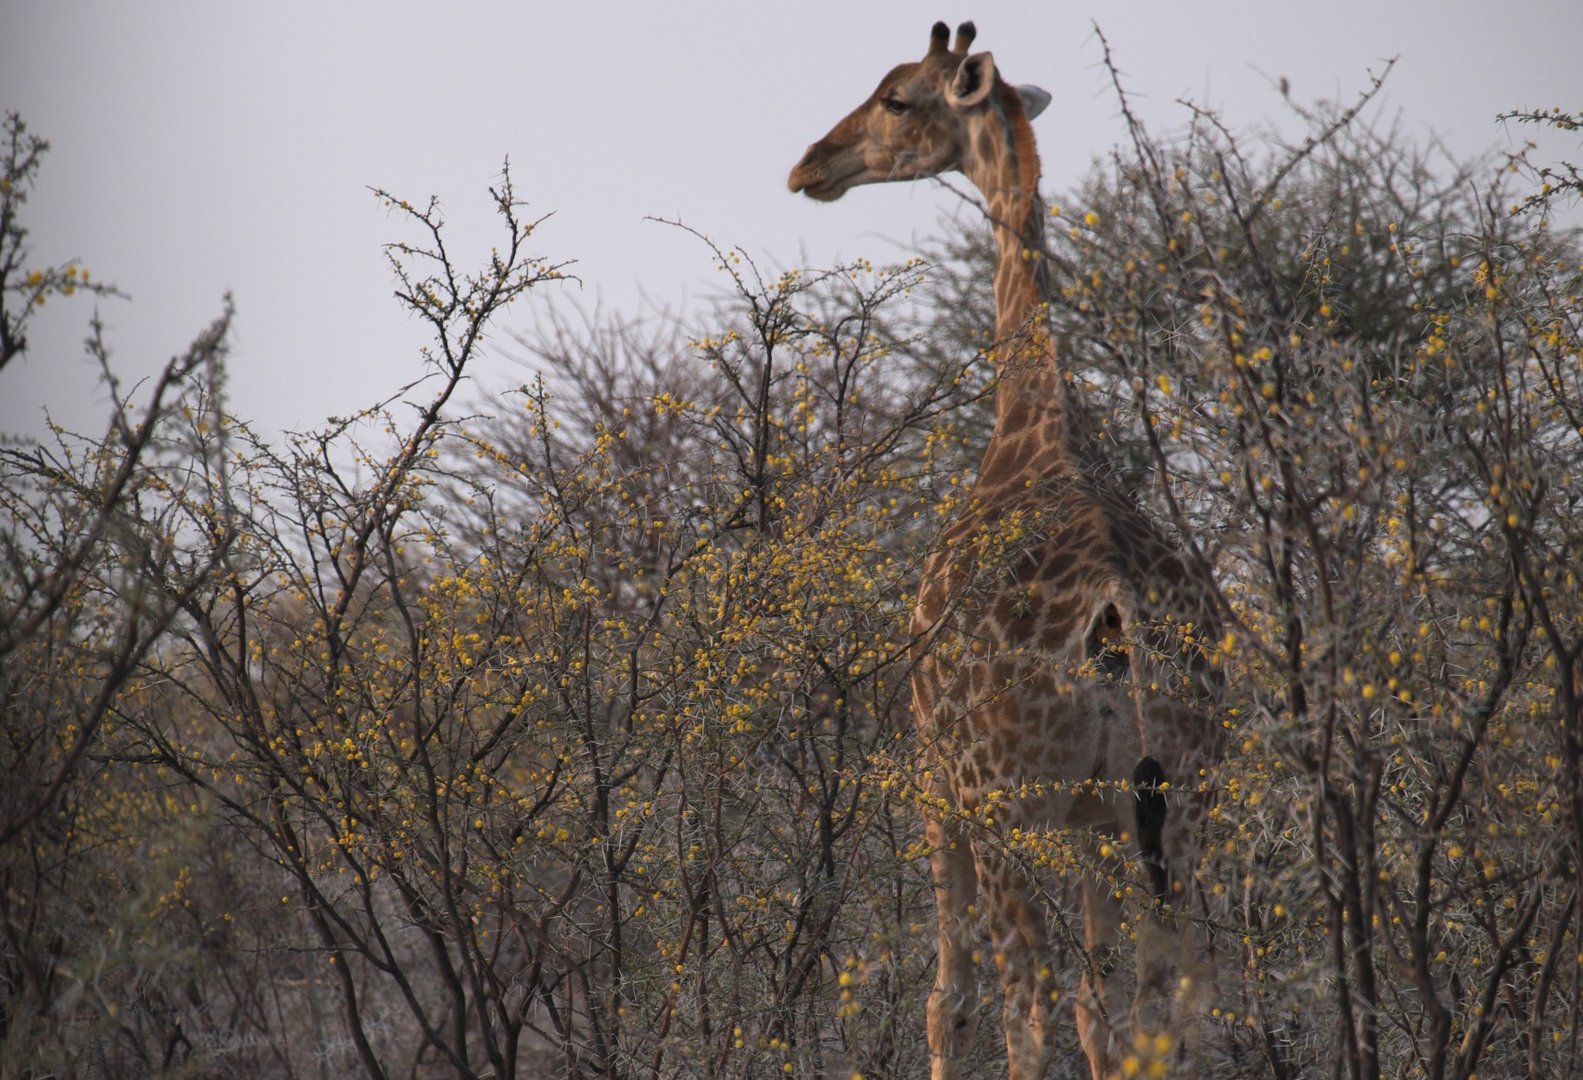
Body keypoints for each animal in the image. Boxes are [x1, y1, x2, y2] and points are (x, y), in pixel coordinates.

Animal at [791, 18, 1222, 1076]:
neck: (1030, 435)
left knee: (1024, 998)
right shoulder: (1097, 817)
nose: (811, 163)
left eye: (897, 96)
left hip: (1007, 806)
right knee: (1168, 1006)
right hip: (1180, 807)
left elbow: (951, 999)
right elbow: (1100, 1012)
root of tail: (1114, 614)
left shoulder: (934, 770)